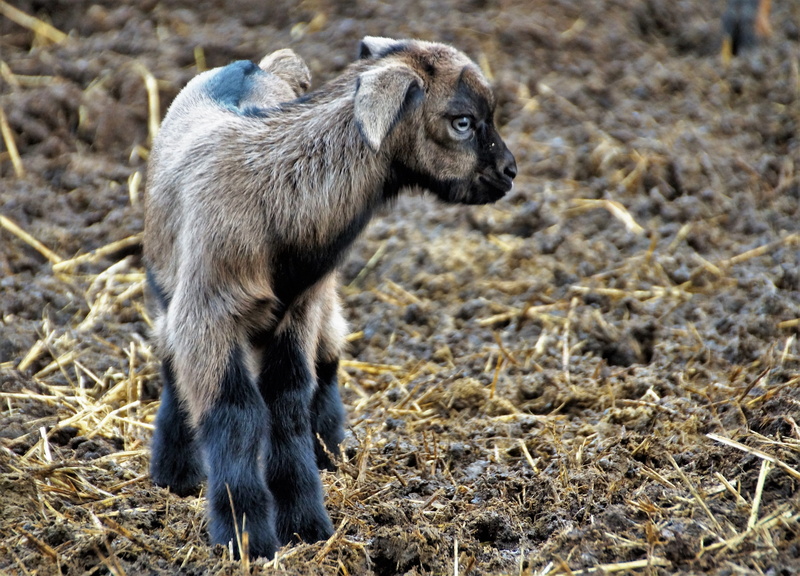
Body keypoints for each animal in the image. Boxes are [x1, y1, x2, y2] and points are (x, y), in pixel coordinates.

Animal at [143, 36, 517, 559]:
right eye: (462, 121)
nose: (510, 172)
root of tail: (253, 65)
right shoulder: (208, 312)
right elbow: (235, 413)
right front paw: (247, 539)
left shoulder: (299, 310)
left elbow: (288, 403)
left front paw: (305, 524)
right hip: (168, 283)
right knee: (171, 361)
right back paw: (175, 475)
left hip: (317, 301)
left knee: (327, 355)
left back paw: (328, 451)